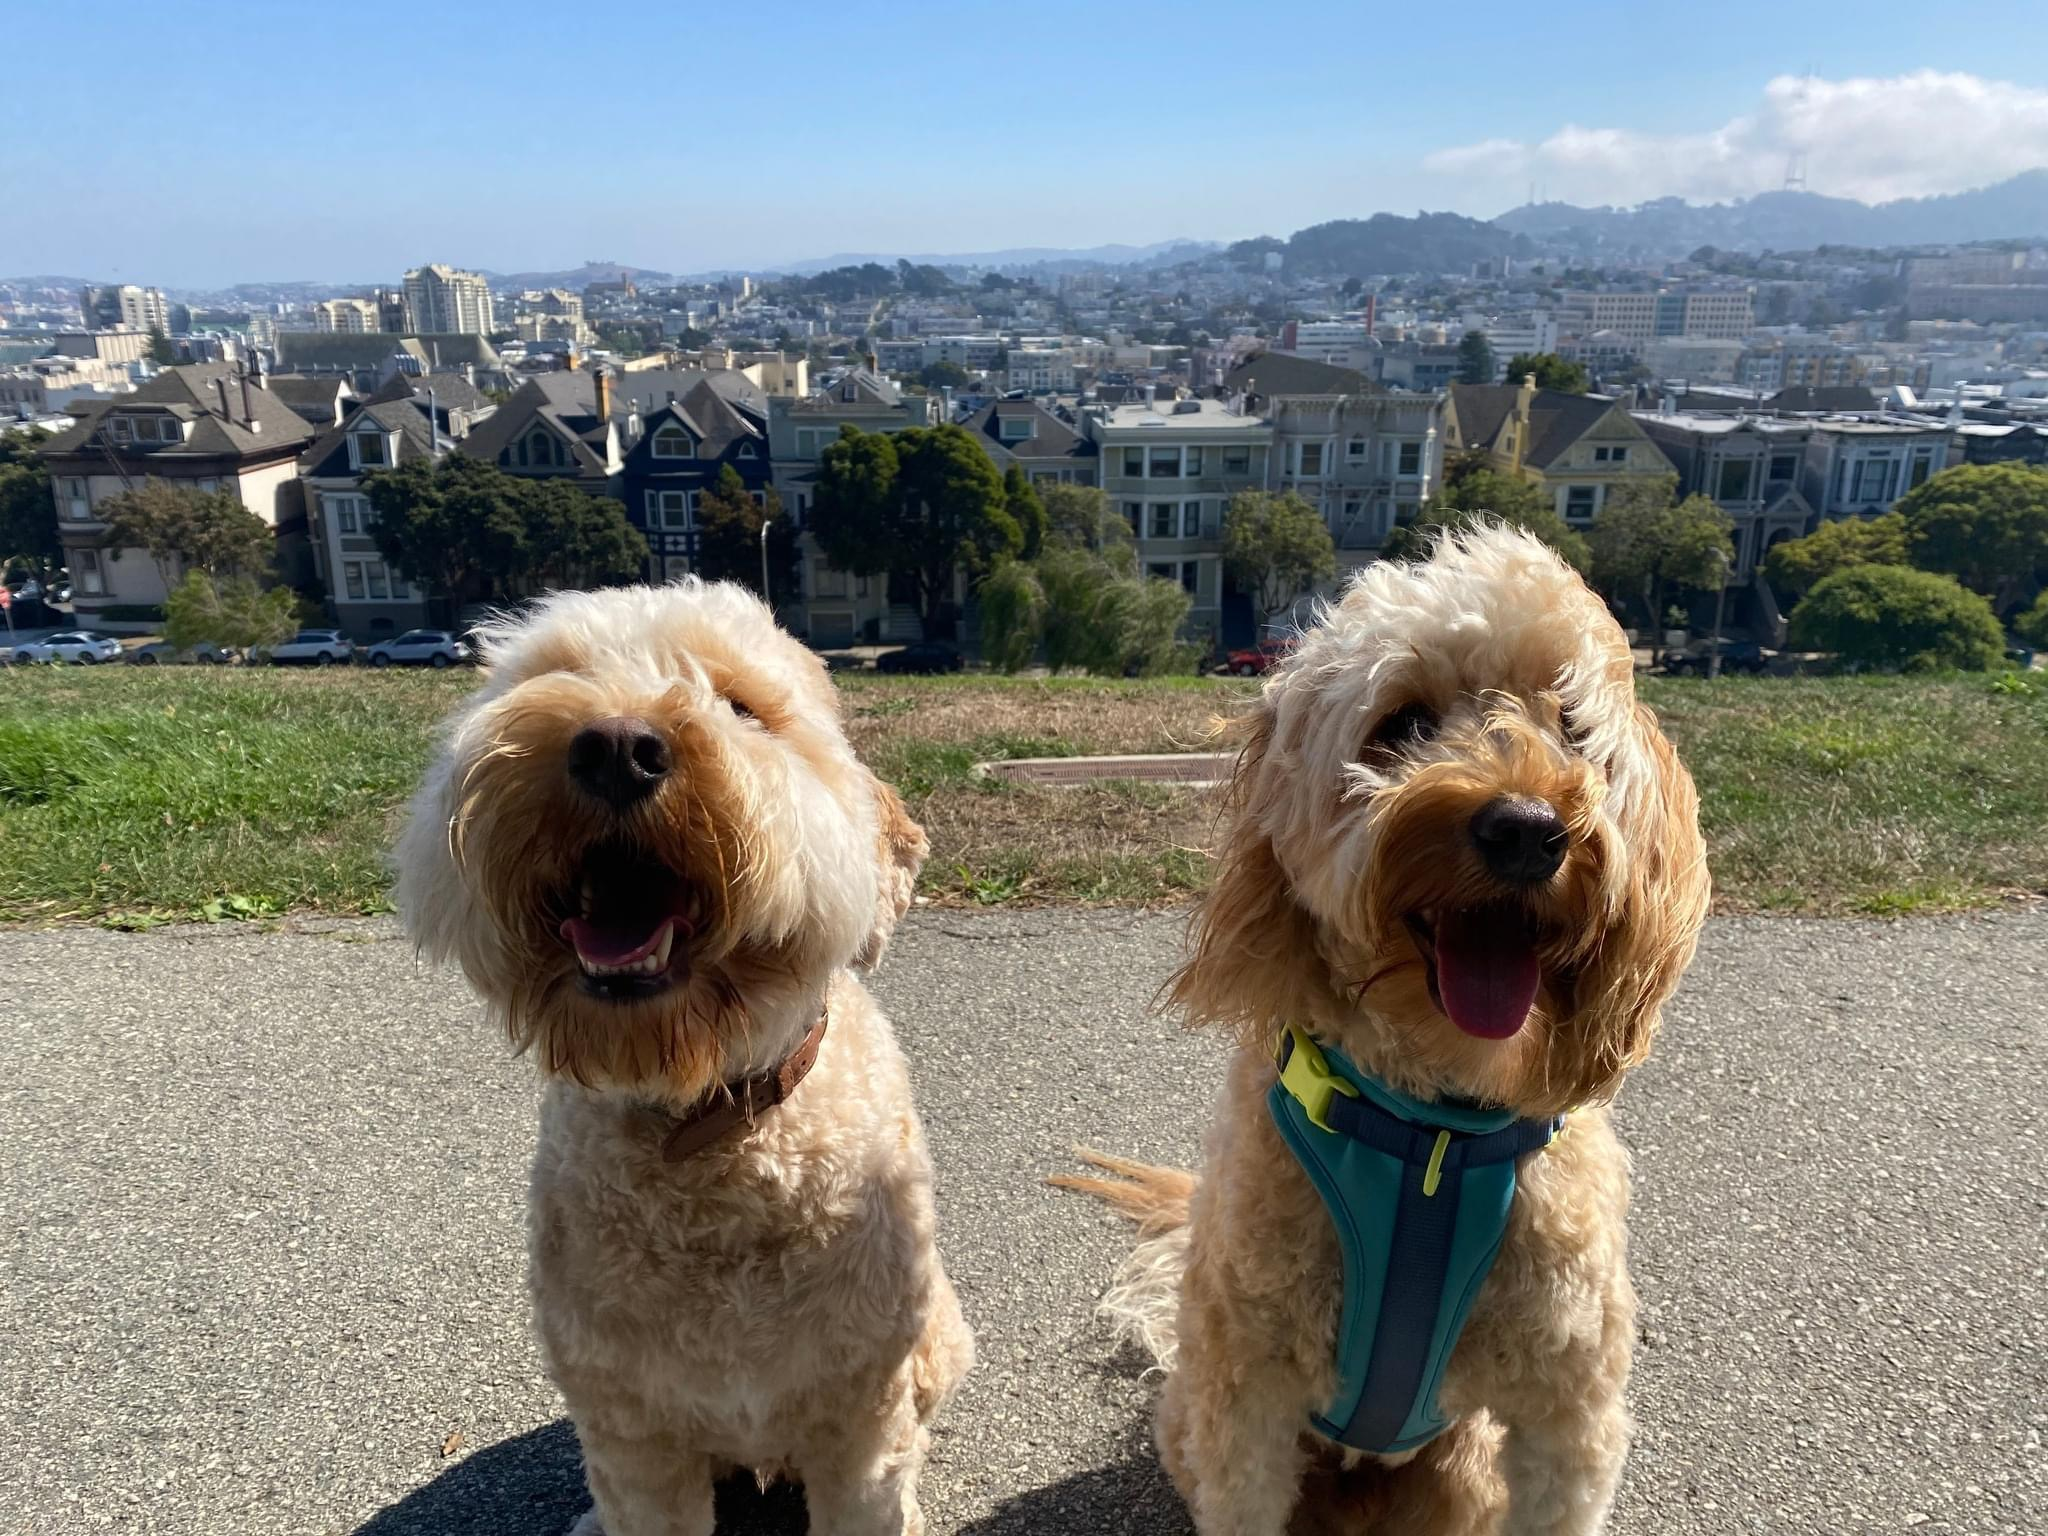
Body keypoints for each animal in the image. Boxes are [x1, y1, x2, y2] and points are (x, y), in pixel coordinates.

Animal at [405, 581, 974, 1531]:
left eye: (741, 706)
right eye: (558, 670)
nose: (616, 749)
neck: (711, 1123)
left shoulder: (859, 1418)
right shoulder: (630, 1429)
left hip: (939, 1342)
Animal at [1073, 524, 1712, 1531]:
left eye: (1572, 725)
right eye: (1403, 724)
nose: (1527, 828)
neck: (1432, 1132)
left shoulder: (1567, 1415)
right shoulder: (1246, 1404)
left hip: (1465, 1469)